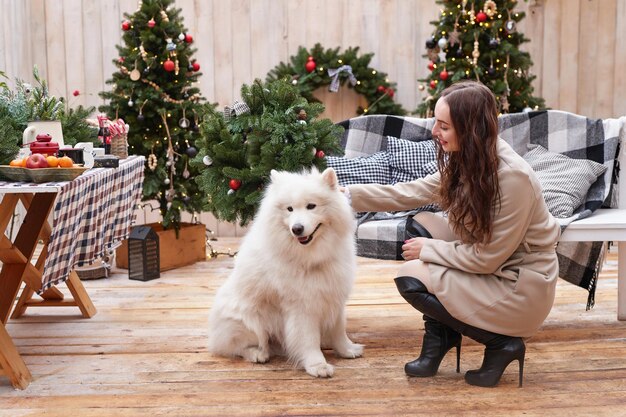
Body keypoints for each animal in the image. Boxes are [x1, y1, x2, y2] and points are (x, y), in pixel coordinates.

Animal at [207, 167, 360, 376]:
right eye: (290, 209)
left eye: (311, 206)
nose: (297, 229)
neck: (311, 257)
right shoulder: (302, 306)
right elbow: (309, 339)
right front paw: (317, 365)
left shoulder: (333, 294)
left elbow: (339, 330)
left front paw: (347, 350)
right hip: (249, 321)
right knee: (237, 347)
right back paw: (258, 354)